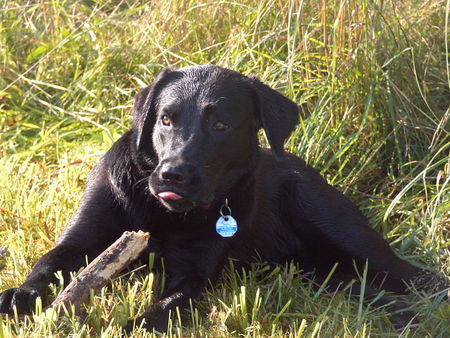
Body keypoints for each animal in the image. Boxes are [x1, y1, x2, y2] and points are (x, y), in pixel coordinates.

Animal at [0, 64, 442, 332]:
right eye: (165, 119)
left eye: (221, 125)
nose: (172, 174)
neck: (163, 215)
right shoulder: (80, 241)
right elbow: (44, 267)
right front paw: (17, 297)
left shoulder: (192, 276)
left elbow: (156, 313)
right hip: (323, 273)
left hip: (344, 235)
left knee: (424, 279)